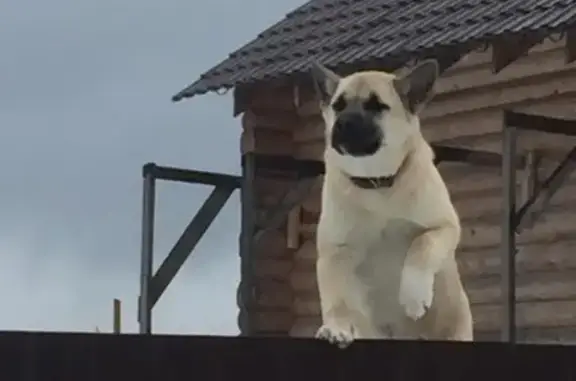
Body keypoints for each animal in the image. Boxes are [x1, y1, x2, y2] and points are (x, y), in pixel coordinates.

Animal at [310, 57, 472, 348]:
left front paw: (413, 296)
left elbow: (421, 246)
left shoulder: (443, 227)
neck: (376, 181)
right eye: (338, 105)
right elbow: (337, 300)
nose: (343, 123)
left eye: (376, 106)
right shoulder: (334, 252)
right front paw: (336, 328)